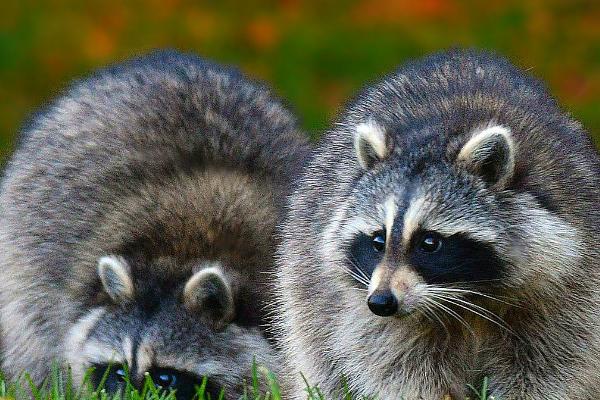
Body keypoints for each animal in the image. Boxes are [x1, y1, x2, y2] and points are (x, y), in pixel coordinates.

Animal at [276, 50, 600, 400]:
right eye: (378, 241)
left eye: (429, 242)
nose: (381, 302)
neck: (467, 295)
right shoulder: (363, 308)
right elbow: (396, 364)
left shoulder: (570, 282)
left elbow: (555, 362)